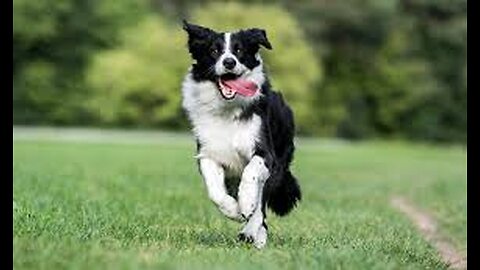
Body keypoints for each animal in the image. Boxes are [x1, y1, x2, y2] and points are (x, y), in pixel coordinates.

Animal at [182, 20, 302, 249]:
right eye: (214, 51)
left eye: (239, 50)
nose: (229, 62)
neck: (228, 110)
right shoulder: (208, 153)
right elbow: (214, 190)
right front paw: (232, 209)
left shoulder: (265, 153)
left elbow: (251, 174)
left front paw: (245, 204)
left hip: (278, 165)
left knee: (262, 203)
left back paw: (253, 232)